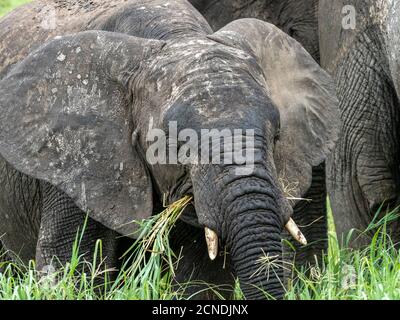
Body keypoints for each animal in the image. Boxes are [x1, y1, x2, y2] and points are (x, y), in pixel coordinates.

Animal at [0, 0, 340, 300]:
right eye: (176, 143)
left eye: (277, 135)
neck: (174, 36)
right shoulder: (75, 157)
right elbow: (74, 263)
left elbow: (203, 277)